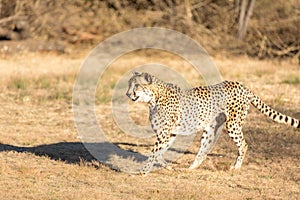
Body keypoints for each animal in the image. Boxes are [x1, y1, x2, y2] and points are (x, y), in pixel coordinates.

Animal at [125, 71, 298, 173]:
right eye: (129, 84)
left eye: (136, 85)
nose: (127, 94)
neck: (154, 98)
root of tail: (241, 85)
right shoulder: (170, 133)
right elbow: (159, 153)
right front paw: (166, 166)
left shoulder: (165, 132)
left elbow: (154, 152)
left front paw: (142, 171)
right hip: (210, 128)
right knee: (204, 150)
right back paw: (191, 167)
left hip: (232, 124)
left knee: (243, 144)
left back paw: (236, 167)